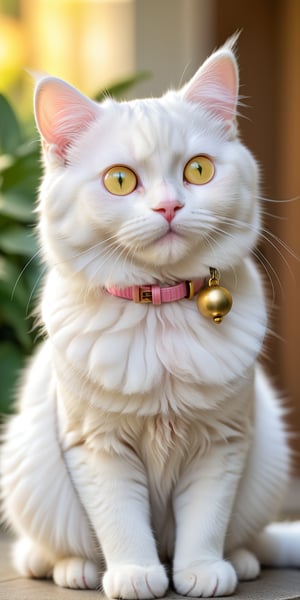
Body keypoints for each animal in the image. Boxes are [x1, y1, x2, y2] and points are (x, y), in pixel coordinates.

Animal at [1, 38, 298, 600]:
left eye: (198, 170)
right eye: (120, 180)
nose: (169, 207)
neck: (159, 310)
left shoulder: (223, 442)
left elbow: (205, 521)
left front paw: (200, 572)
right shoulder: (96, 447)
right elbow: (121, 522)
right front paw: (136, 575)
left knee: (246, 538)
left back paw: (240, 562)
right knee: (43, 550)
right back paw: (76, 570)